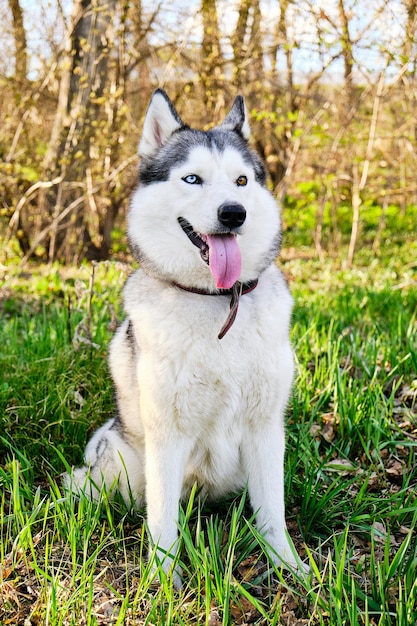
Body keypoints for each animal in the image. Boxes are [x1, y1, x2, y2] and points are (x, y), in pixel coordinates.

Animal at [66, 90, 304, 584]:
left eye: (242, 180)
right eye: (192, 179)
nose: (233, 212)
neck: (216, 299)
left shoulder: (266, 428)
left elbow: (272, 511)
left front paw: (290, 570)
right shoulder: (167, 435)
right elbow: (161, 518)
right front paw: (163, 581)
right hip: (119, 462)